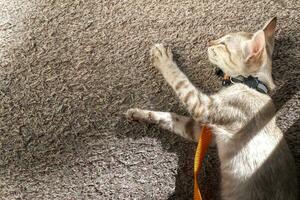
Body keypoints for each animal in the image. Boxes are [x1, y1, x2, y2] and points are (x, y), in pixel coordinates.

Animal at [125, 17, 298, 200]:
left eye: (223, 44)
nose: (209, 41)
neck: (252, 85)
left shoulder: (202, 107)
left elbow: (177, 78)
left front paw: (162, 57)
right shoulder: (204, 131)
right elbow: (171, 117)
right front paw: (138, 114)